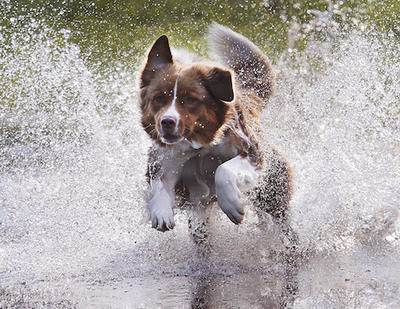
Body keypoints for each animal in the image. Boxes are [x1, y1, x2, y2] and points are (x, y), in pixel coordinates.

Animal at [139, 23, 292, 243]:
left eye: (190, 99)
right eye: (159, 98)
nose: (167, 122)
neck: (198, 147)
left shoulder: (252, 153)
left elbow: (223, 169)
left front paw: (232, 205)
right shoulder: (165, 162)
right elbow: (158, 184)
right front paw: (160, 212)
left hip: (272, 191)